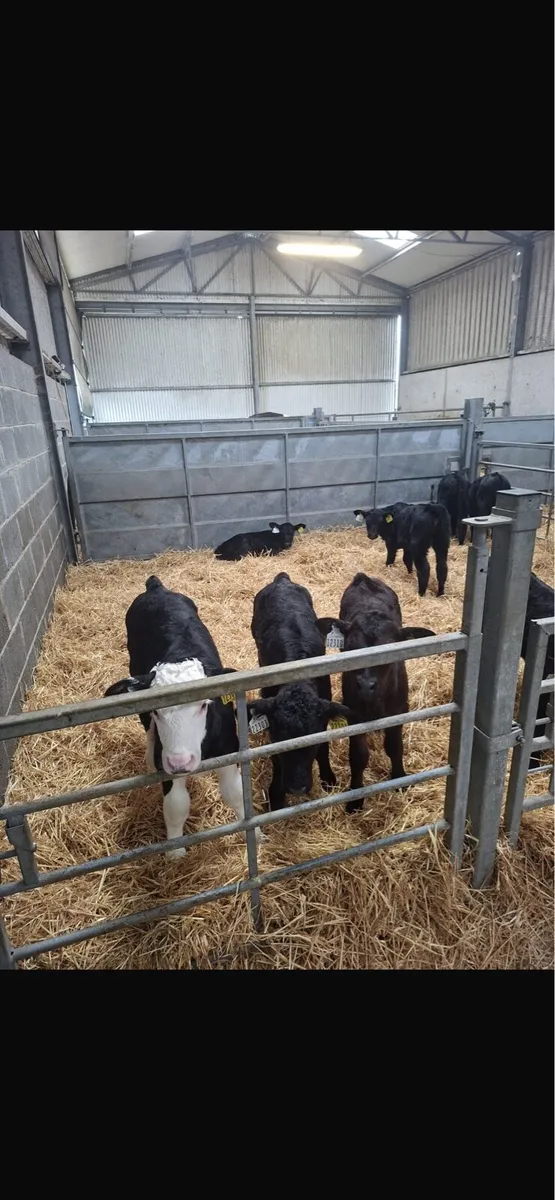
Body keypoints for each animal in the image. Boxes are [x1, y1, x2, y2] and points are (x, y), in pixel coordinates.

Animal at [104, 575, 255, 858]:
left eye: (204, 705)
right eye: (158, 710)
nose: (180, 762)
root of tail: (156, 588)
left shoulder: (231, 749)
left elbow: (234, 793)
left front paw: (255, 834)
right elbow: (175, 805)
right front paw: (175, 852)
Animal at [248, 571, 353, 810]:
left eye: (311, 740)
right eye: (279, 736)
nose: (297, 788)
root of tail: (282, 580)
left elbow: (323, 748)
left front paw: (328, 777)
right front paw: (276, 795)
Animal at [316, 573, 436, 812]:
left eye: (389, 649)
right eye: (350, 647)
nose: (365, 685)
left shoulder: (399, 709)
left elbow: (394, 747)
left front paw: (399, 778)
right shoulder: (354, 713)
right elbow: (358, 755)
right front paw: (355, 798)